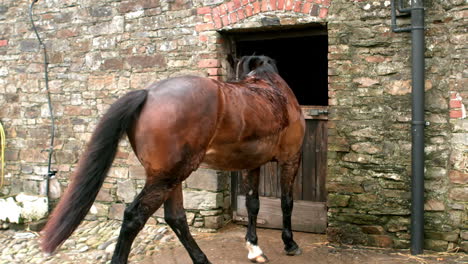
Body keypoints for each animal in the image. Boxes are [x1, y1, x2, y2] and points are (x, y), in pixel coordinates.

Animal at [39, 54, 304, 262]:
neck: (273, 90)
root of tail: (147, 94)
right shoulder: (291, 159)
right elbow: (287, 203)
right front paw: (290, 244)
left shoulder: (252, 164)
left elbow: (253, 204)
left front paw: (254, 248)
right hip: (167, 177)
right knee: (134, 216)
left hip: (173, 176)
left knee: (176, 218)